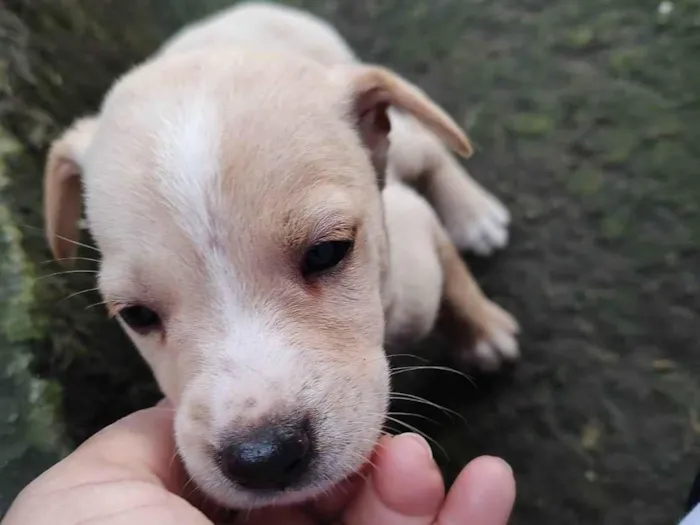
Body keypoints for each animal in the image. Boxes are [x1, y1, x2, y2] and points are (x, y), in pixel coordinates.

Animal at [41, 0, 516, 508]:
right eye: (137, 315)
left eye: (327, 252)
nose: (264, 458)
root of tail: (237, 12)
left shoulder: (414, 236)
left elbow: (452, 270)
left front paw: (483, 333)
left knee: (430, 148)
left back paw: (473, 213)